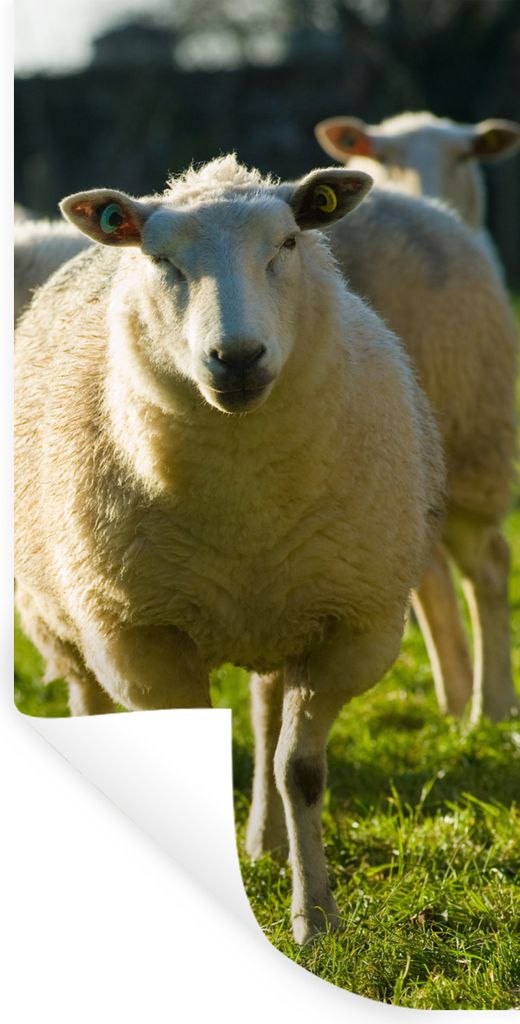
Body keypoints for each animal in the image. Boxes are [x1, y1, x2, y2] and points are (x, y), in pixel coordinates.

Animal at [15, 155, 445, 943]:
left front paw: (315, 918)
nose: (237, 358)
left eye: (288, 243)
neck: (243, 504)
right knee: (87, 700)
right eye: (160, 260)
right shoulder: (143, 640)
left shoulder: (351, 626)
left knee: (269, 718)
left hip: (281, 610)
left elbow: (299, 771)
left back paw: (266, 842)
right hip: (63, 615)